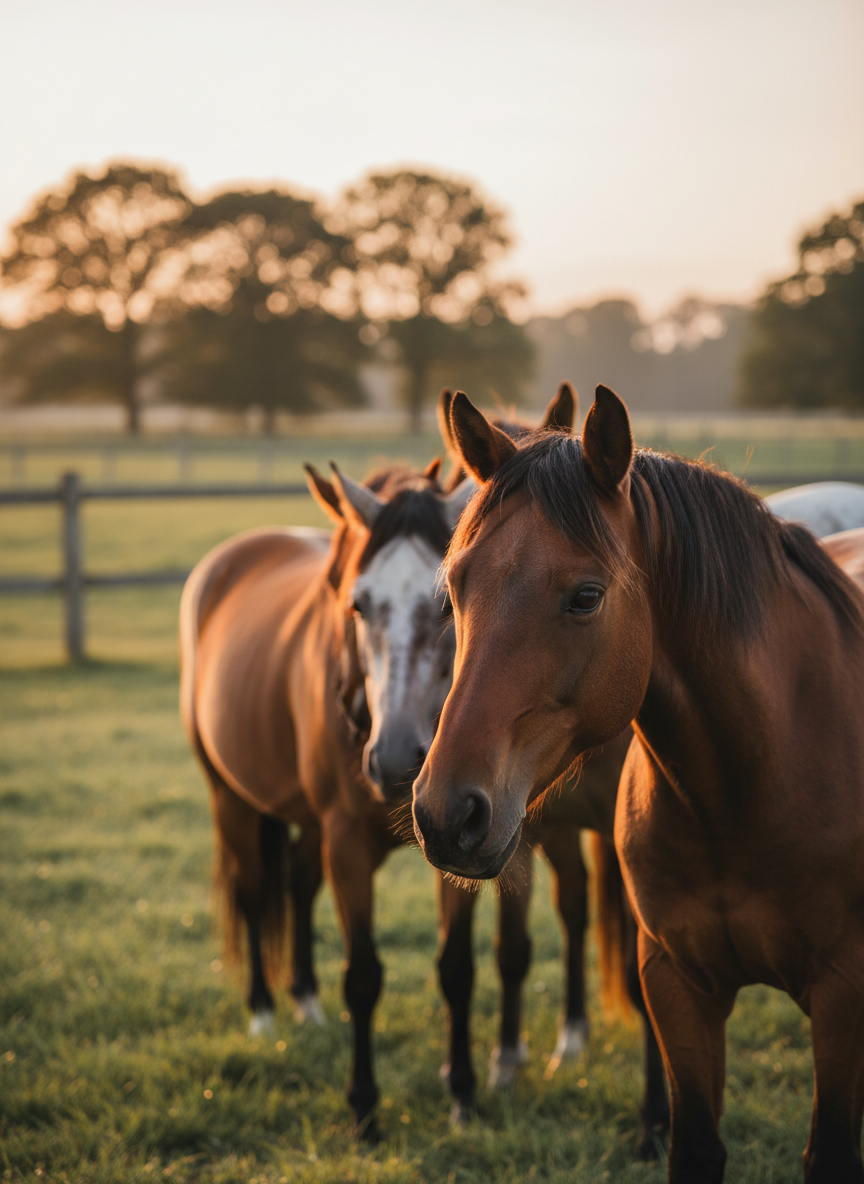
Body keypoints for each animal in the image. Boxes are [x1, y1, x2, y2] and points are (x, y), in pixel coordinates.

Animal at [412, 385, 864, 1182]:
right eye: (455, 587)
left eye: (586, 596)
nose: (446, 814)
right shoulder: (678, 988)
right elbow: (695, 1146)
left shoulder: (843, 994)